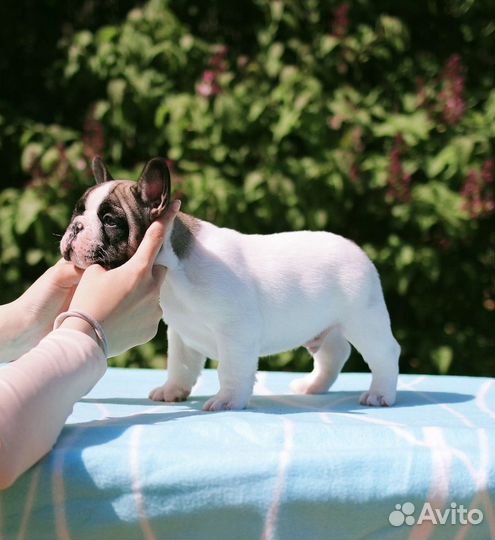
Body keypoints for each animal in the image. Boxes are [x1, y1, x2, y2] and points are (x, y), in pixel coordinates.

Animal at [63, 156, 404, 410]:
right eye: (77, 212)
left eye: (110, 221)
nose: (75, 227)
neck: (173, 273)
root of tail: (356, 248)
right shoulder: (182, 335)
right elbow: (181, 365)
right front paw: (172, 391)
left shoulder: (235, 332)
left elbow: (231, 368)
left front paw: (228, 400)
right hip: (324, 327)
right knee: (334, 354)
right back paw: (313, 386)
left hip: (363, 319)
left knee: (384, 353)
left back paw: (379, 394)